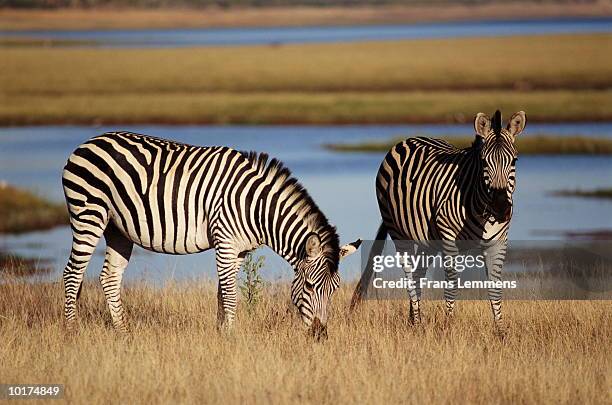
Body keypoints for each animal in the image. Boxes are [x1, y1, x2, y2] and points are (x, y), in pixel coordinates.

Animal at [62, 130, 360, 334]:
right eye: (309, 286)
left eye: (335, 290)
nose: (320, 335)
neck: (256, 207)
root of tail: (87, 142)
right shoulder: (225, 242)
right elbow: (230, 294)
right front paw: (233, 337)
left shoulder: (240, 250)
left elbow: (222, 294)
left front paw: (222, 335)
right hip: (88, 215)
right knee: (72, 274)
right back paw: (71, 331)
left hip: (117, 228)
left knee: (109, 278)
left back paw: (123, 333)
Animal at [350, 109, 524, 332]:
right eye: (485, 162)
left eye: (514, 161)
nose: (501, 209)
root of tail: (408, 139)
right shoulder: (448, 236)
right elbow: (452, 281)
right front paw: (448, 326)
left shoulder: (499, 241)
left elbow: (495, 286)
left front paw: (501, 332)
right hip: (398, 231)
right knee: (409, 274)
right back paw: (417, 322)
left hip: (428, 239)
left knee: (418, 274)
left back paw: (414, 320)